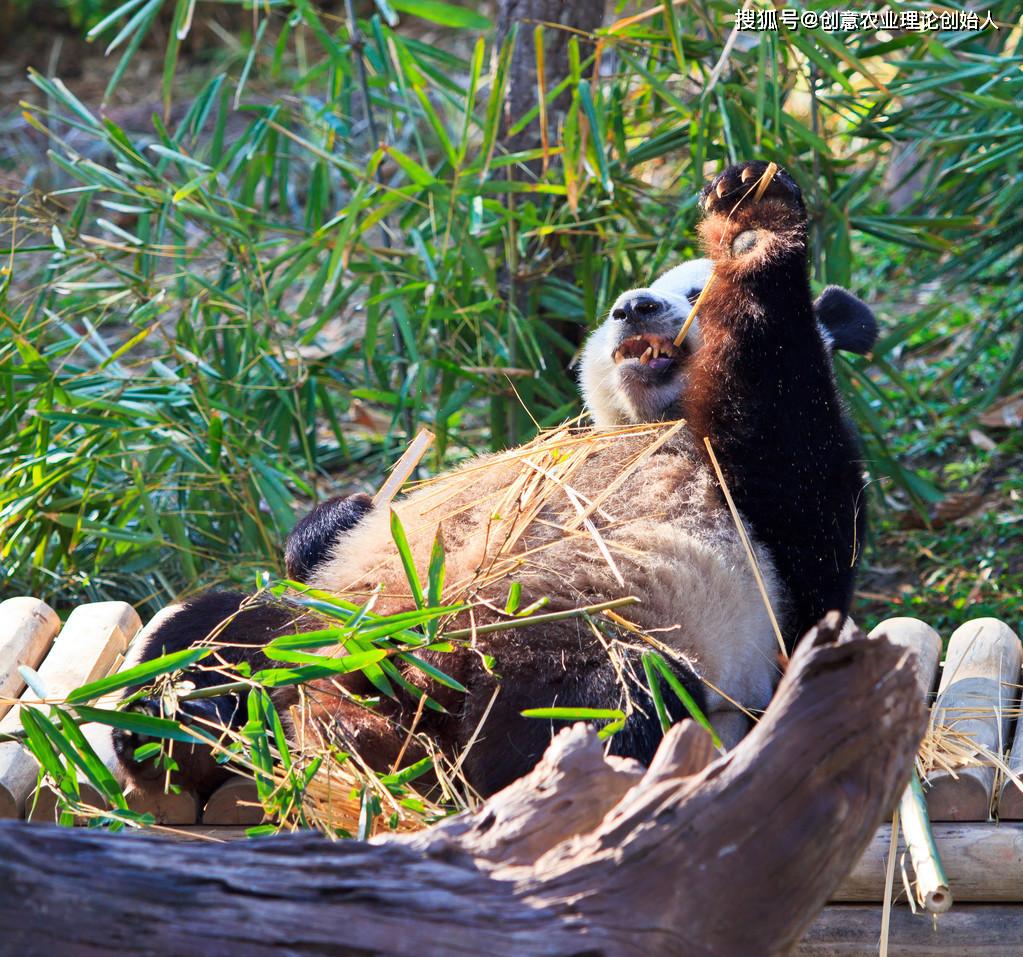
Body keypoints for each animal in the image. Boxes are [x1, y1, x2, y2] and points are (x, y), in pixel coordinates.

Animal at [117, 162, 871, 802]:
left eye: (693, 290)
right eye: (623, 302)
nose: (633, 306)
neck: (654, 425)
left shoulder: (784, 515)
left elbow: (788, 427)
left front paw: (752, 226)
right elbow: (338, 532)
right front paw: (336, 517)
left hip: (606, 645)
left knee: (615, 705)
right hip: (327, 622)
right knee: (215, 627)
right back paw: (181, 721)